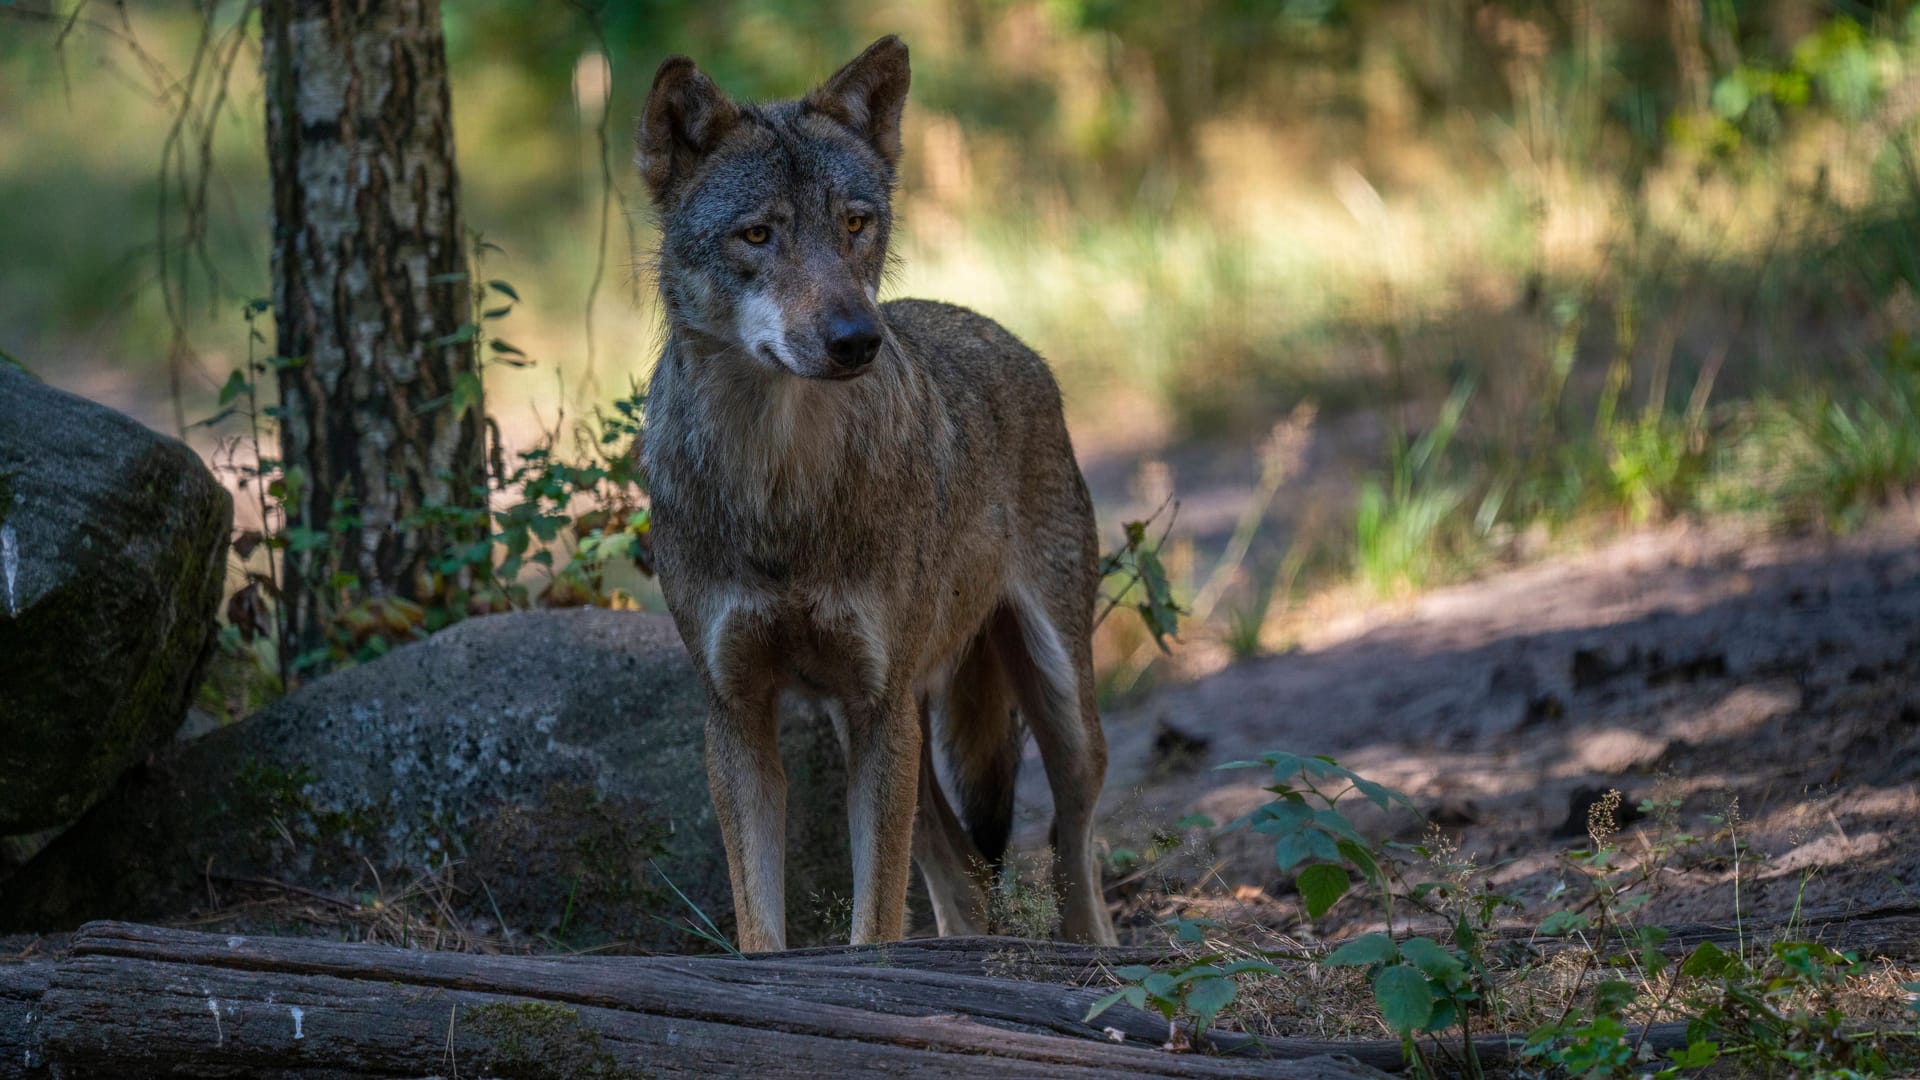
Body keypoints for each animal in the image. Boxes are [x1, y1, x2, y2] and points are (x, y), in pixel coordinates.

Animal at [637, 33, 1121, 945]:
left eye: (855, 224)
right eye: (758, 234)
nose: (859, 338)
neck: (779, 486)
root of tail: (1001, 333)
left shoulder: (879, 702)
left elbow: (875, 928)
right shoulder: (737, 716)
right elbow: (761, 933)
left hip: (1056, 707)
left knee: (1072, 847)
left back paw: (1101, 955)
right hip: (875, 730)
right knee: (963, 876)